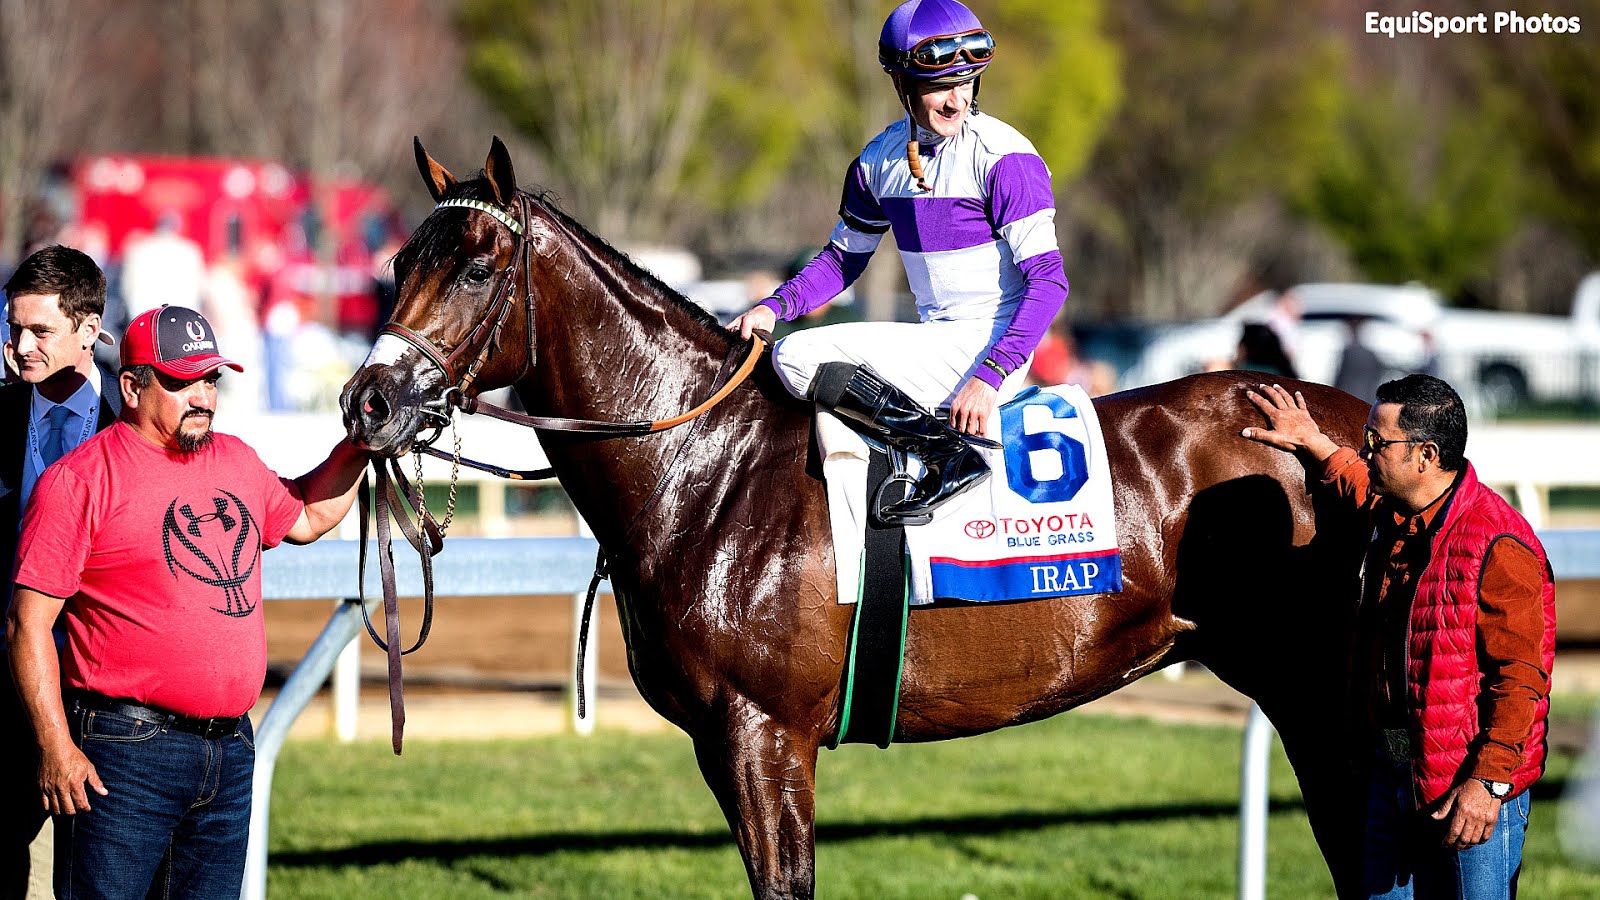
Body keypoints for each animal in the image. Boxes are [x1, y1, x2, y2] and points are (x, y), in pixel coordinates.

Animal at [341, 138, 1375, 899]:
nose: (367, 402)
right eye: (397, 262)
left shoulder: (762, 734)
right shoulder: (723, 744)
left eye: (479, 270)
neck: (706, 470)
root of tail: (1360, 420)